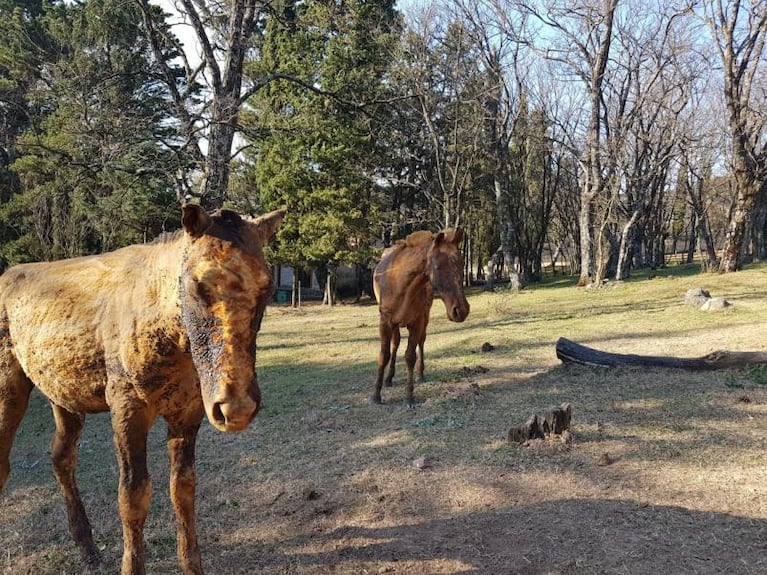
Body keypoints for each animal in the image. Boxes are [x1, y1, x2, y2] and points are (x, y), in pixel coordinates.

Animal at [0, 205, 284, 572]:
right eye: (197, 284)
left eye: (267, 286)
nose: (236, 407)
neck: (170, 333)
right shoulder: (128, 407)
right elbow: (133, 496)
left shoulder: (188, 411)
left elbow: (183, 488)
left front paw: (192, 565)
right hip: (10, 385)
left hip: (63, 397)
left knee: (61, 457)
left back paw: (88, 547)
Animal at [370, 227, 472, 408]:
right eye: (438, 266)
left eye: (462, 264)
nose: (461, 310)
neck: (400, 284)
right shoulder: (385, 322)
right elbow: (384, 355)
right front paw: (376, 395)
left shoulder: (416, 322)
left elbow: (410, 356)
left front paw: (409, 397)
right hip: (396, 324)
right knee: (395, 344)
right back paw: (389, 378)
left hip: (425, 317)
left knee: (421, 342)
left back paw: (420, 374)